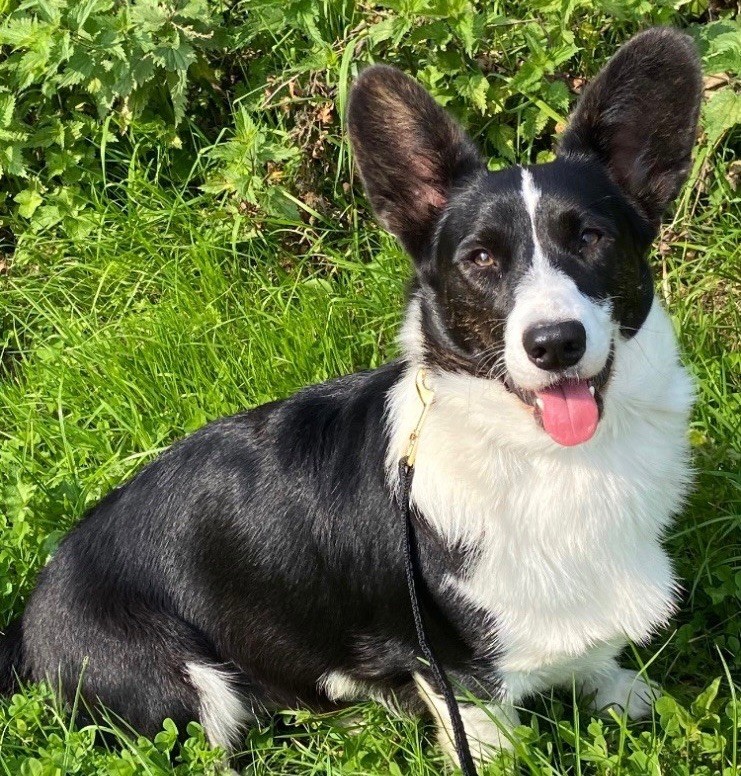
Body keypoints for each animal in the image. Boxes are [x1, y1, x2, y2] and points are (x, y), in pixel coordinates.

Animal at [1, 27, 700, 768]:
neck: (552, 461)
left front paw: (617, 688)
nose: (555, 343)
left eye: (591, 237)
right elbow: (491, 743)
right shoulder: (459, 677)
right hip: (185, 693)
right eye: (480, 259)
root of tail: (28, 620)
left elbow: (596, 662)